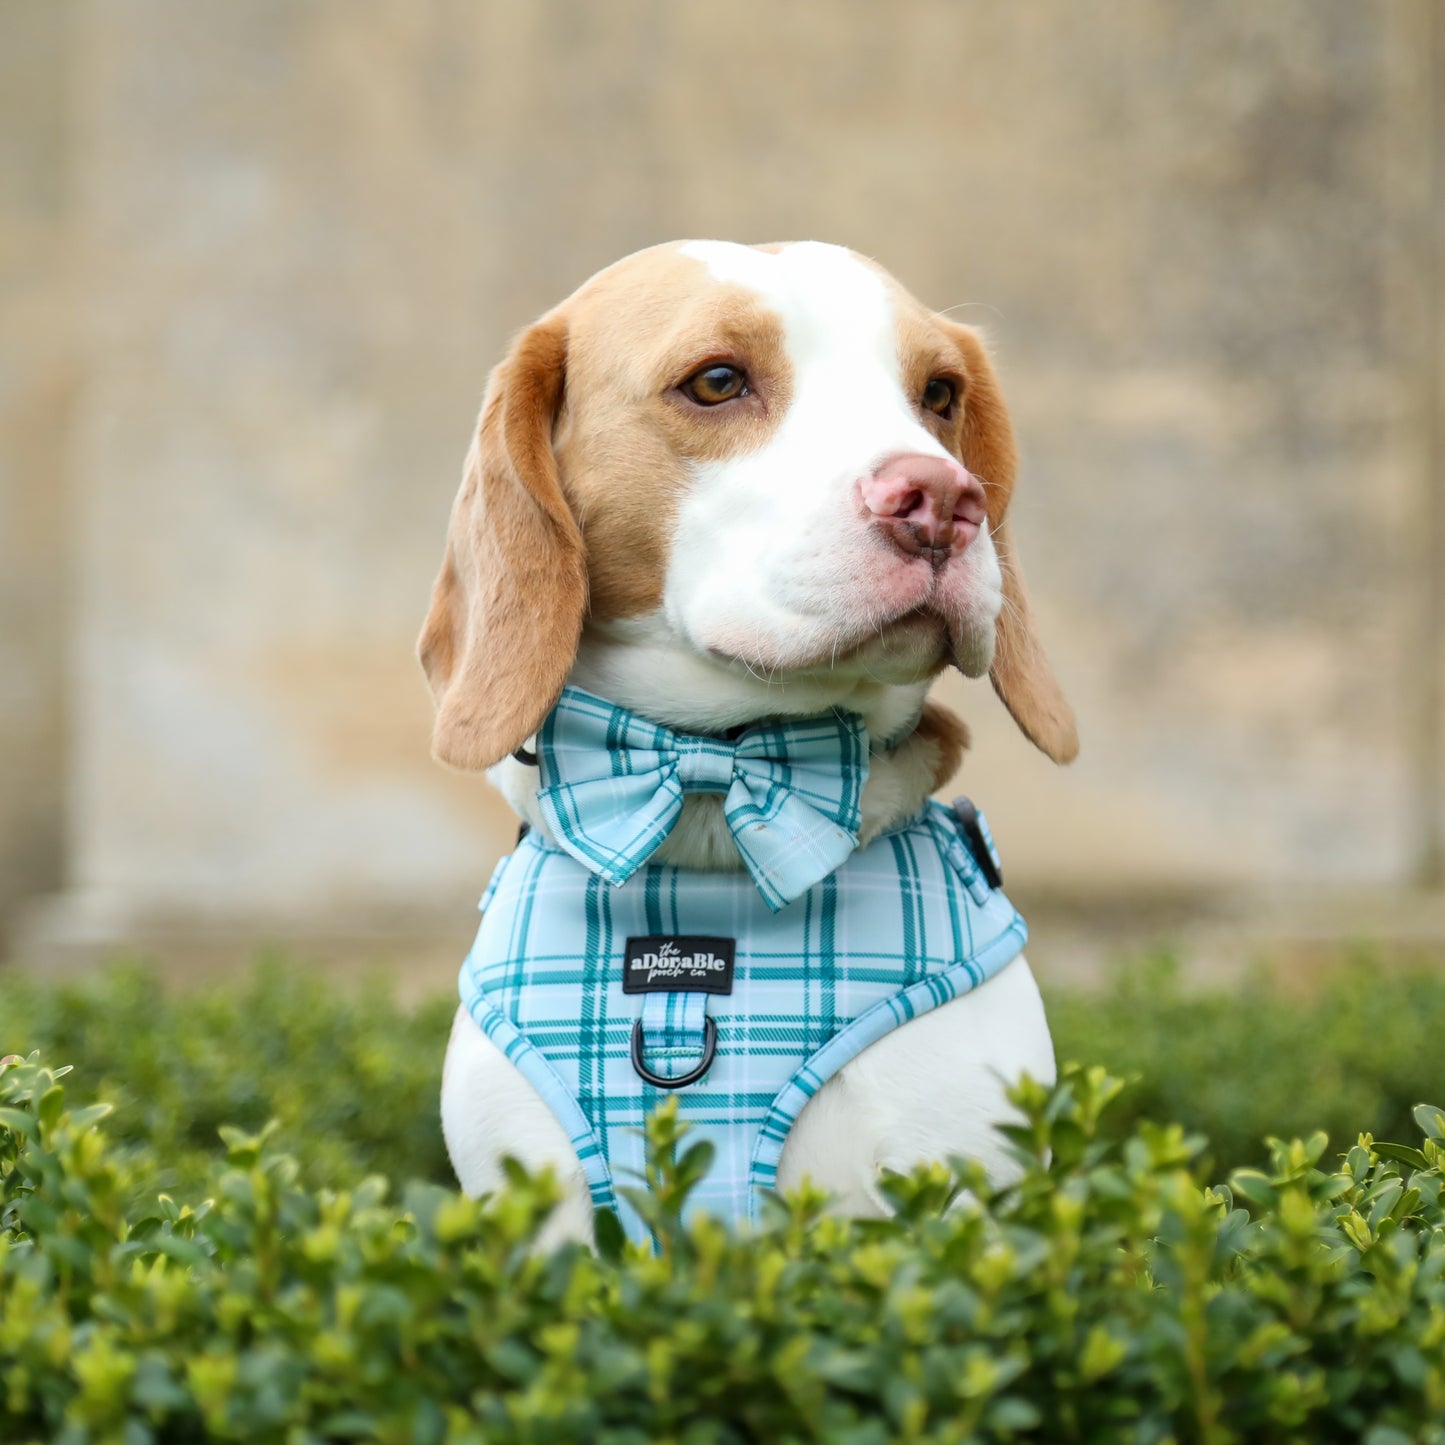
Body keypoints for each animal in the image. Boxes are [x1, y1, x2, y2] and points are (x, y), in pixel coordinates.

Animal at [419, 236, 1075, 1242]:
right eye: (718, 381)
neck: (712, 800)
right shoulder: (534, 1214)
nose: (941, 497)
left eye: (938, 393)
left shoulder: (968, 1197)